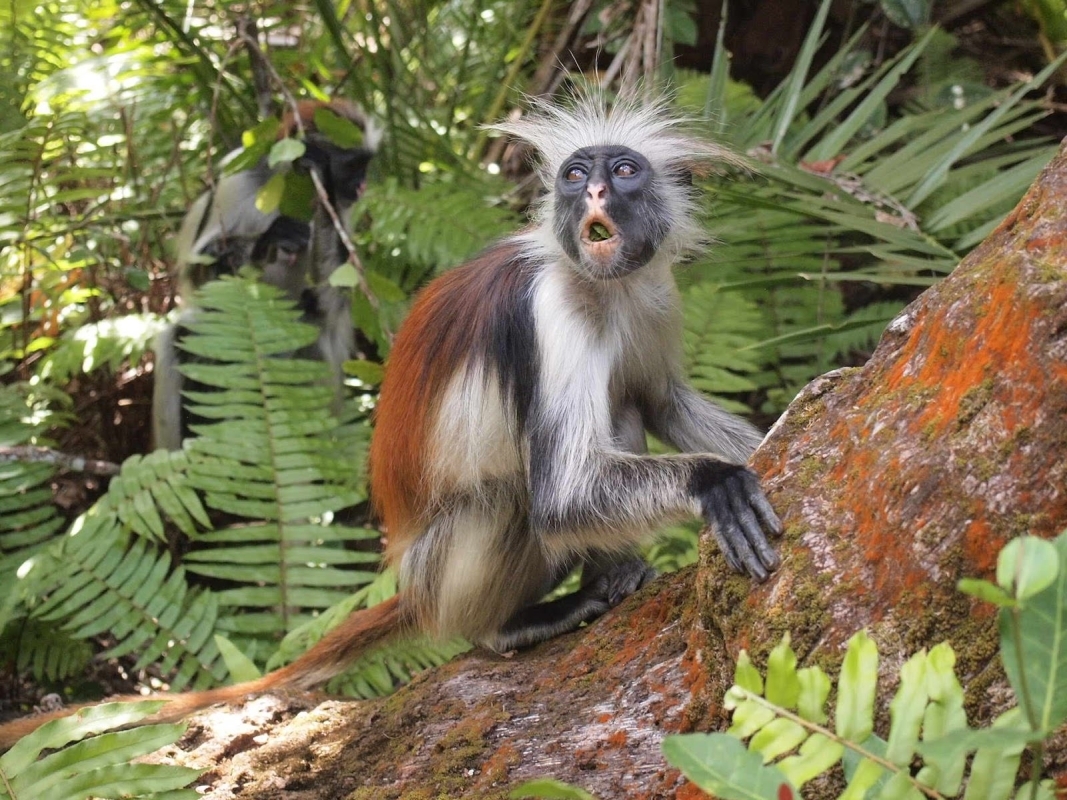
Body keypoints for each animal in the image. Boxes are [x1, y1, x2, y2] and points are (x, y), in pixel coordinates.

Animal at [151, 99, 377, 450]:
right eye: (353, 166)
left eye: (365, 165)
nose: (362, 186)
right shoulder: (235, 182)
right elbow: (201, 283)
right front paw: (262, 244)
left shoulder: (340, 209)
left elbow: (332, 298)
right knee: (184, 335)